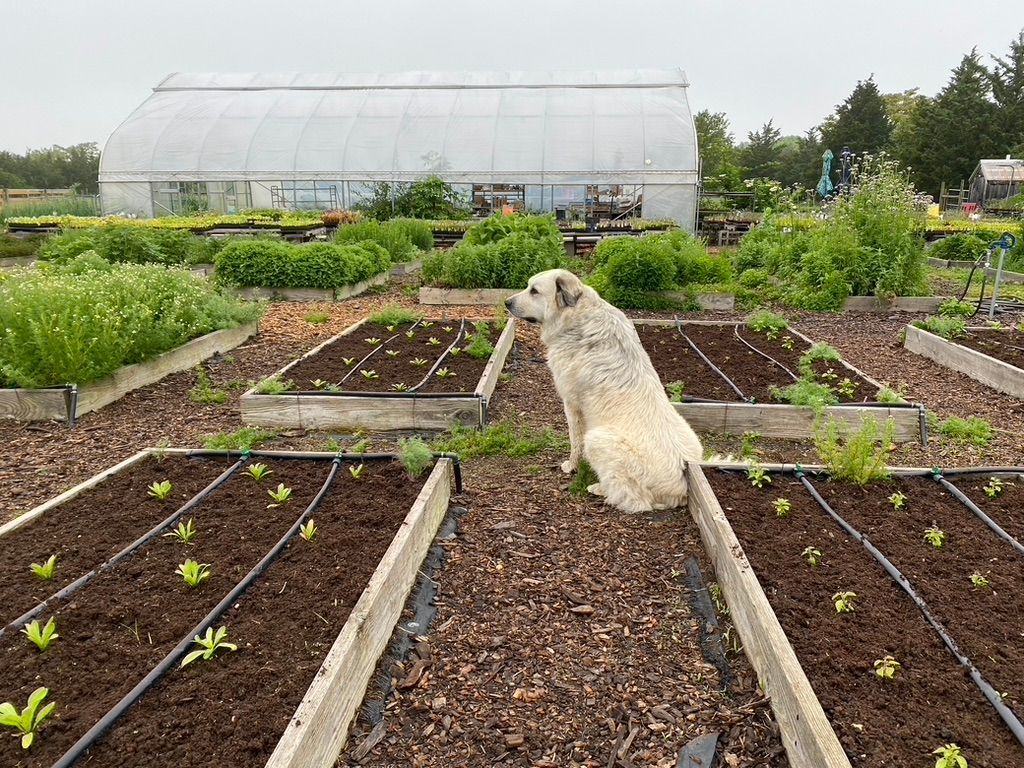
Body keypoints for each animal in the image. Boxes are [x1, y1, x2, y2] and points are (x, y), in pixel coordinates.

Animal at [503, 268, 704, 514]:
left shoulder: (571, 403)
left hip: (597, 439)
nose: (506, 302)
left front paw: (571, 466)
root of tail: (682, 484)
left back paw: (599, 488)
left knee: (635, 500)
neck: (576, 316)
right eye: (528, 286)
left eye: (534, 291)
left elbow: (575, 441)